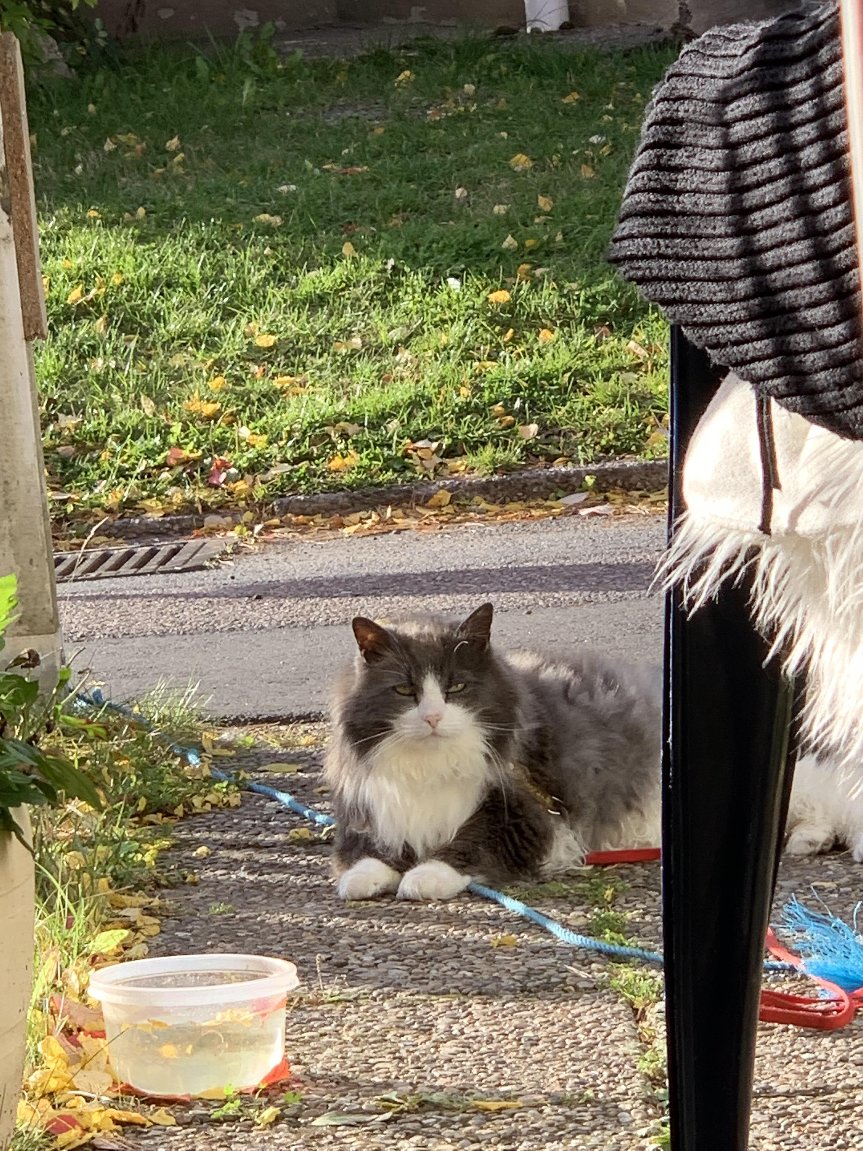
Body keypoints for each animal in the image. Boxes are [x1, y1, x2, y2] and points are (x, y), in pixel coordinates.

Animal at [324, 602, 662, 901]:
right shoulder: (372, 813)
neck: (430, 767)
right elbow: (368, 853)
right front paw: (360, 879)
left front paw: (424, 877)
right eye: (405, 690)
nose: (433, 717)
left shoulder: (523, 817)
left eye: (456, 687)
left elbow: (469, 843)